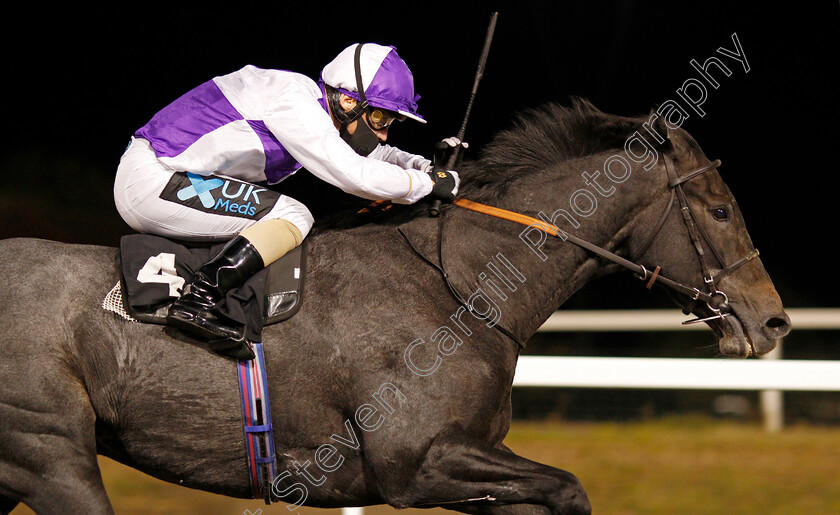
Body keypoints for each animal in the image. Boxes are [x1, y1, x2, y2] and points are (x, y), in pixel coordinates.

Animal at [0, 99, 788, 512]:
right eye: (721, 210)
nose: (771, 319)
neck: (459, 288)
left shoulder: (472, 463)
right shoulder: (417, 462)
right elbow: (568, 490)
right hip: (49, 450)